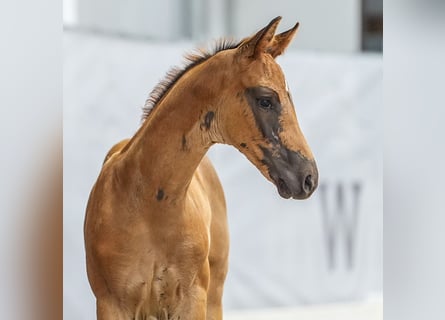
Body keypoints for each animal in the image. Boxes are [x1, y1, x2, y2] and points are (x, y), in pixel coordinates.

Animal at [85, 16, 318, 318]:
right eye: (265, 100)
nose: (308, 177)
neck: (149, 205)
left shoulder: (193, 300)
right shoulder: (111, 304)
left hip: (214, 297)